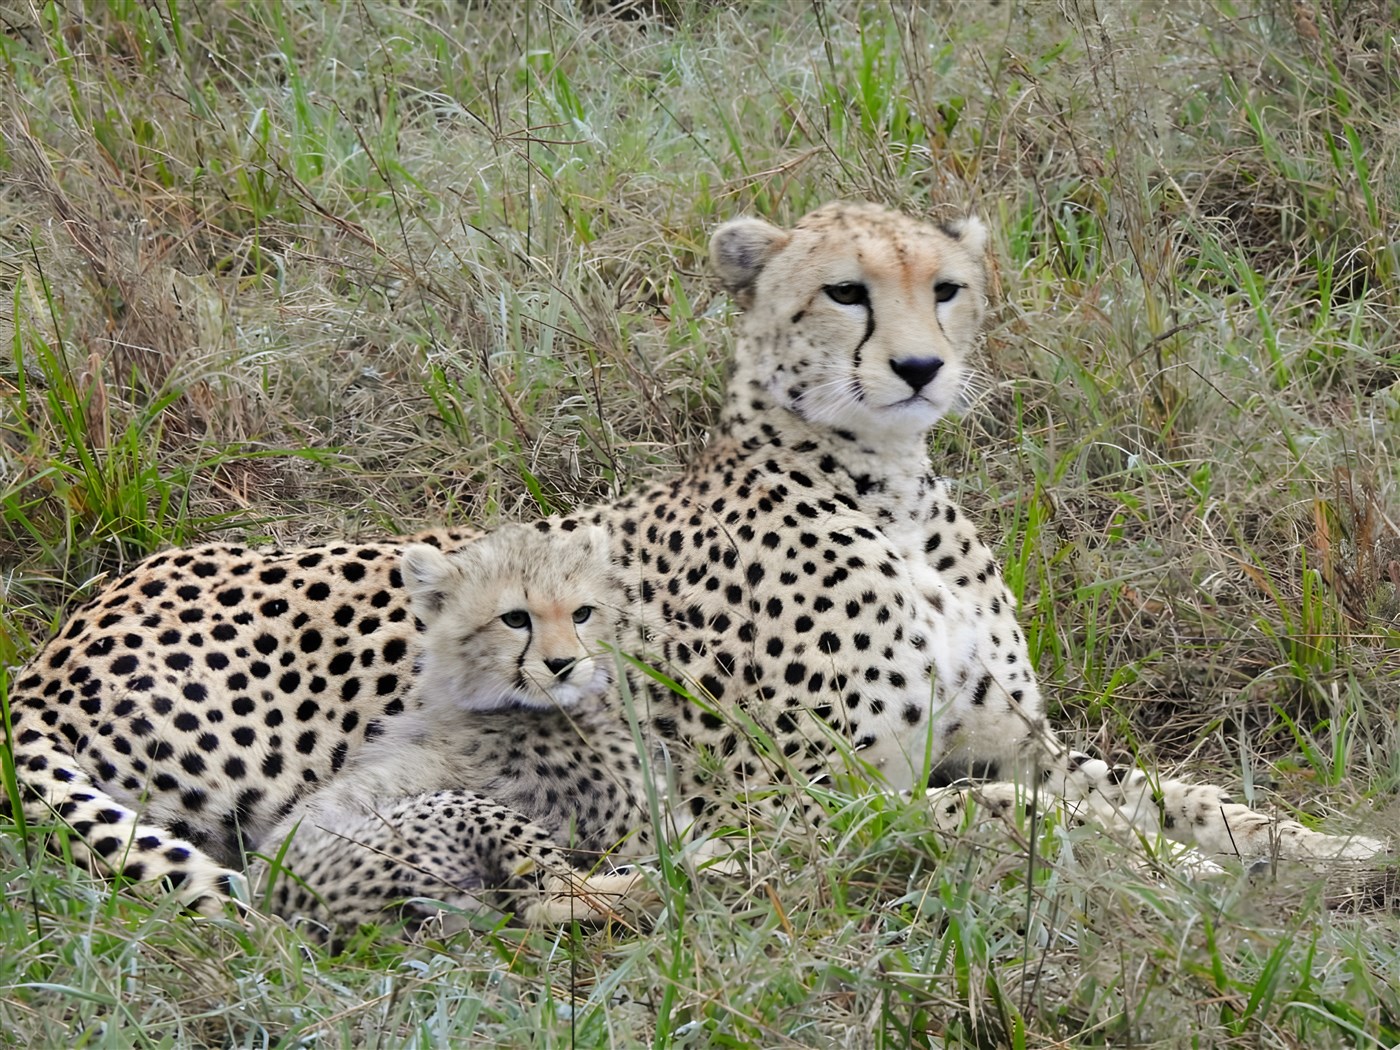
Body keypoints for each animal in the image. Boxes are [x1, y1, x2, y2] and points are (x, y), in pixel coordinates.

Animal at [252, 524, 655, 944]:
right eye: (515, 619)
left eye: (582, 614)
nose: (563, 664)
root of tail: (276, 916)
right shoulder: (633, 835)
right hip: (448, 808)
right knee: (550, 902)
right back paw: (660, 884)